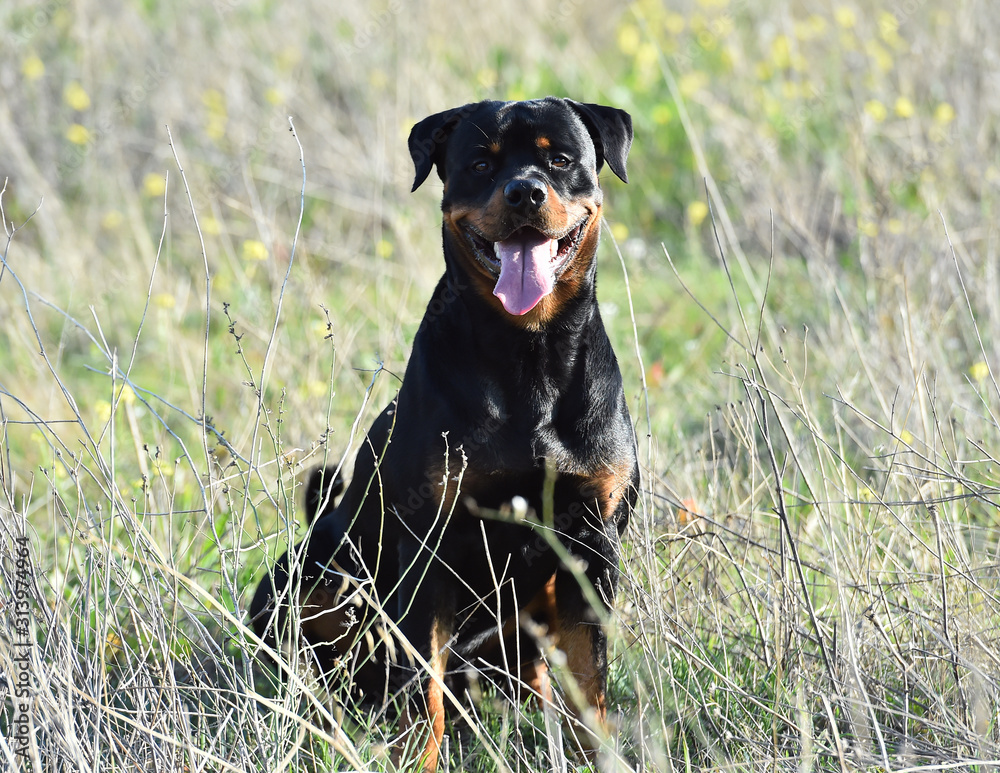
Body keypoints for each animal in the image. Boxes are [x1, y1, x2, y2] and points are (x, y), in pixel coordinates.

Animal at [254, 99, 636, 768]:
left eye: (562, 159)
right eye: (481, 164)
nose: (524, 192)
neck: (527, 352)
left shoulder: (593, 545)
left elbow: (590, 688)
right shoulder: (427, 544)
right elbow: (421, 690)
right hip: (320, 573)